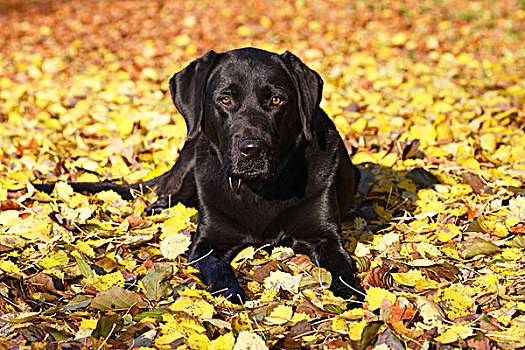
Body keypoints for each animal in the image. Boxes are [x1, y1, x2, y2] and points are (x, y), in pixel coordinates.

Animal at [35, 47, 360, 302]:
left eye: (277, 100)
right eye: (225, 99)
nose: (252, 150)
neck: (260, 192)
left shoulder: (325, 236)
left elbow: (344, 268)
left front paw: (351, 295)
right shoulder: (206, 243)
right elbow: (219, 269)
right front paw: (233, 293)